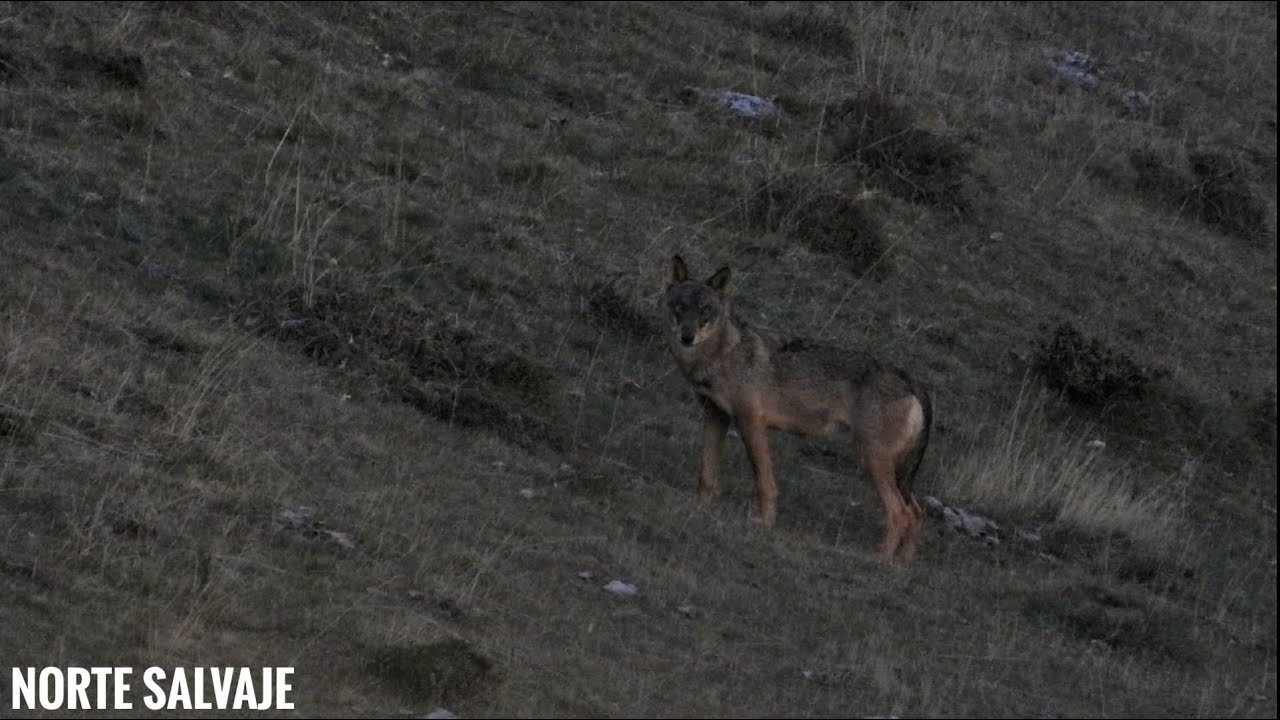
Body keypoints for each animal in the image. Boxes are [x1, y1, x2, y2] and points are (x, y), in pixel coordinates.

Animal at [664, 254, 933, 561]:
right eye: (680, 308)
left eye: (705, 311)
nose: (687, 337)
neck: (720, 356)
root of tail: (911, 379)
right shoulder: (715, 416)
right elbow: (706, 472)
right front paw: (700, 505)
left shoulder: (750, 421)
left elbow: (764, 481)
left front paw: (764, 523)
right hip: (895, 470)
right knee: (917, 513)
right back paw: (903, 562)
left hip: (871, 459)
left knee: (901, 513)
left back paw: (880, 557)